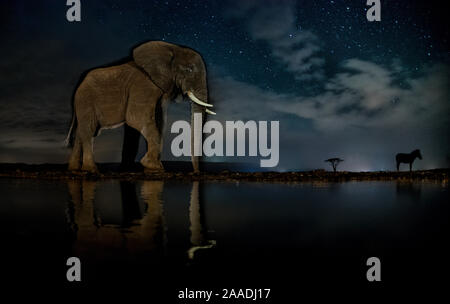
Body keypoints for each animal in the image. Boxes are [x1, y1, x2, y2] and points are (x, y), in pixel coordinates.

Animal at [65, 40, 216, 173]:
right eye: (189, 70)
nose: (195, 172)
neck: (172, 48)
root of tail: (79, 84)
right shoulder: (143, 85)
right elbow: (135, 118)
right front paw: (154, 167)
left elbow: (160, 122)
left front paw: (152, 167)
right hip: (85, 100)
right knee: (89, 131)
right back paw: (91, 170)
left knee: (80, 133)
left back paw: (74, 170)